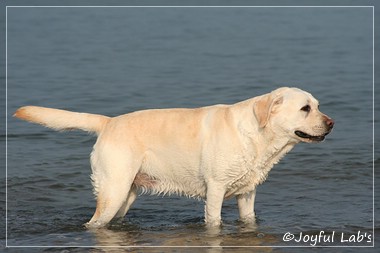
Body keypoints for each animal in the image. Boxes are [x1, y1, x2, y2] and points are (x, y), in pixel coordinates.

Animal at [14, 87, 332, 227]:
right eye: (305, 109)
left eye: (318, 105)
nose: (332, 123)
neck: (259, 136)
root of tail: (109, 122)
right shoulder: (215, 189)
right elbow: (214, 222)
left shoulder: (248, 193)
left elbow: (249, 219)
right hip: (113, 191)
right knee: (93, 223)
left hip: (126, 195)